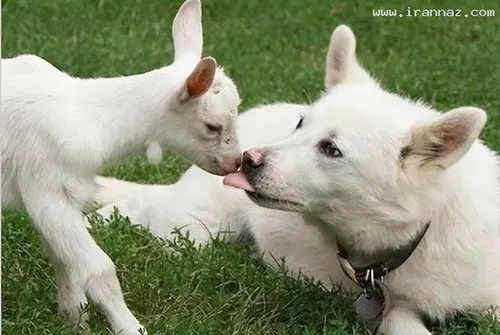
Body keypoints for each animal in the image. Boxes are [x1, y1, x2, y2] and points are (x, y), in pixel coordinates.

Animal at [0, 1, 241, 334]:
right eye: (212, 126)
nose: (237, 162)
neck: (90, 116)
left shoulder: (57, 193)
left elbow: (63, 259)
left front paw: (74, 318)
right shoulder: (46, 190)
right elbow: (98, 268)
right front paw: (129, 327)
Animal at [94, 25, 500, 334]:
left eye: (331, 149)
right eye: (301, 124)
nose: (247, 160)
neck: (425, 230)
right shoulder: (394, 312)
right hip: (196, 231)